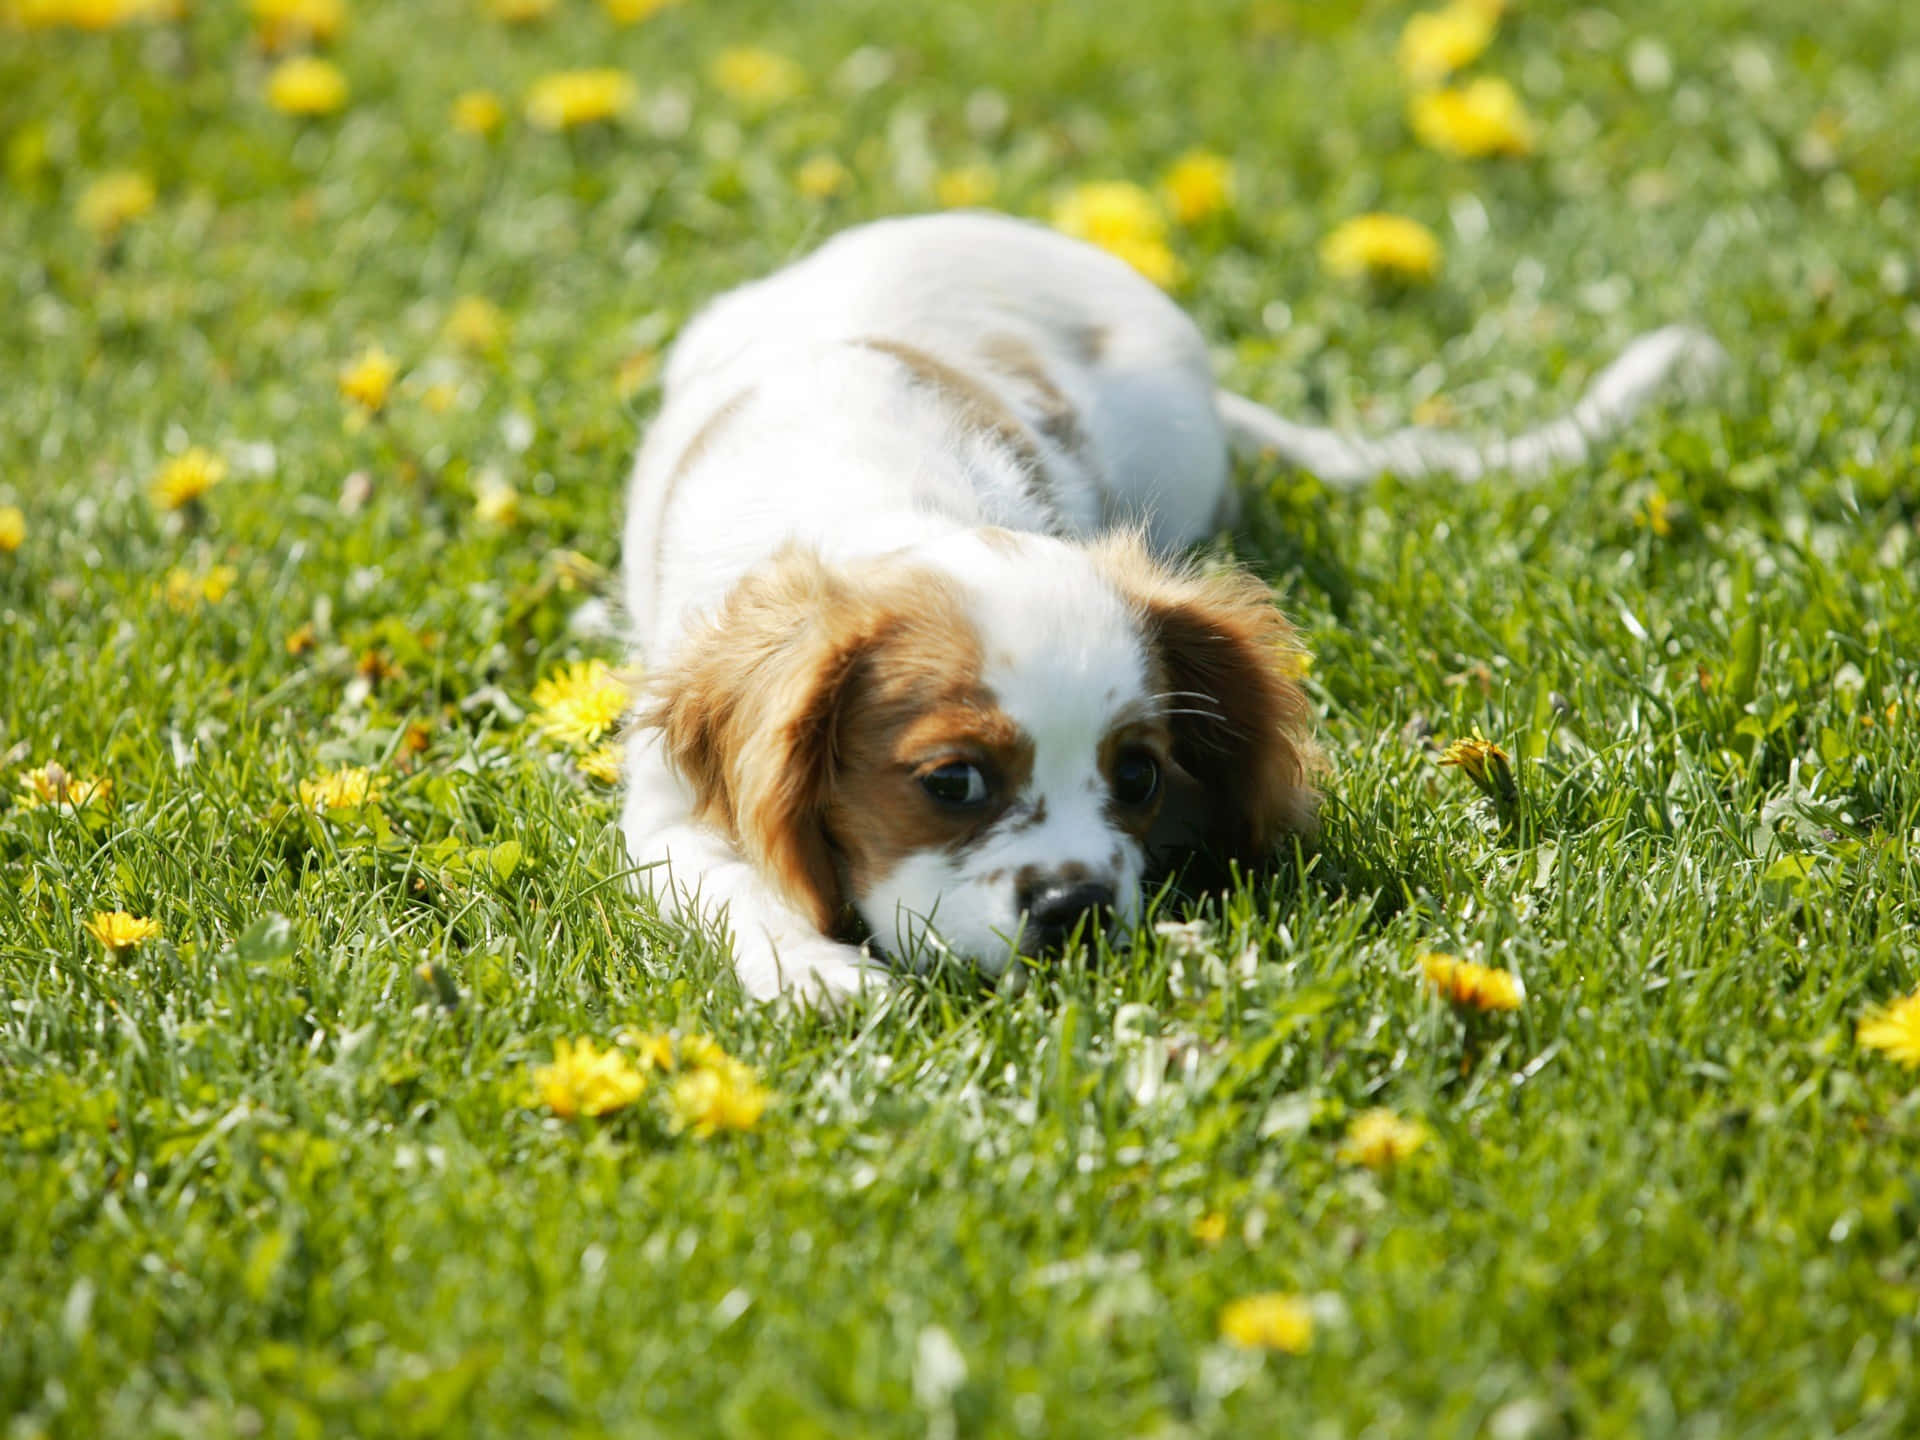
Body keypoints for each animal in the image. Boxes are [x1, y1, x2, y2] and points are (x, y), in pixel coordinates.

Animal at [618, 211, 1728, 1006]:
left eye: (1139, 776)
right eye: (953, 782)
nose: (1075, 909)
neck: (889, 496)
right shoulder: (663, 804)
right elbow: (725, 882)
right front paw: (815, 971)